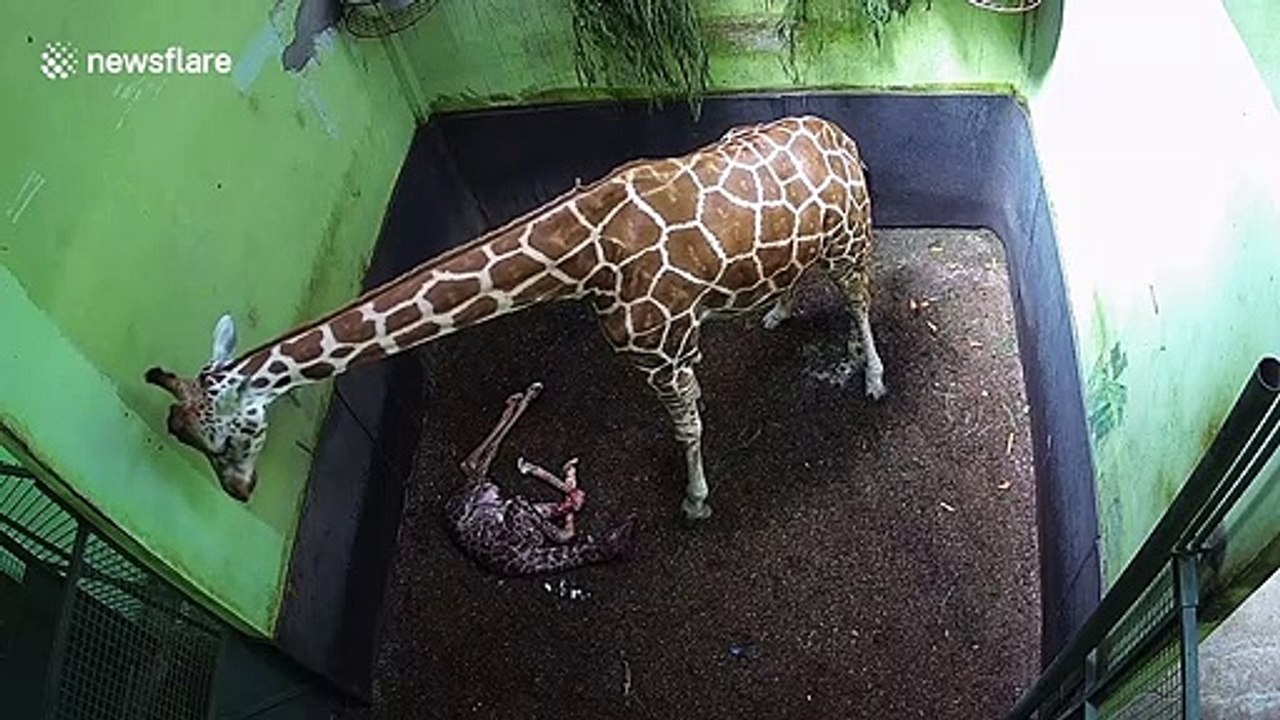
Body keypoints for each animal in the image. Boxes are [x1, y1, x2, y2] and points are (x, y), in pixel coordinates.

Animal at [145, 114, 887, 520]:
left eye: (229, 435)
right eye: (183, 435)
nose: (240, 491)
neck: (584, 256)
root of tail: (842, 134)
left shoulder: (664, 349)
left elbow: (688, 428)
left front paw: (696, 502)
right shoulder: (660, 351)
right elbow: (691, 416)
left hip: (851, 233)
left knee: (859, 297)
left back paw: (873, 377)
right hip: (814, 243)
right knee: (804, 277)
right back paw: (776, 314)